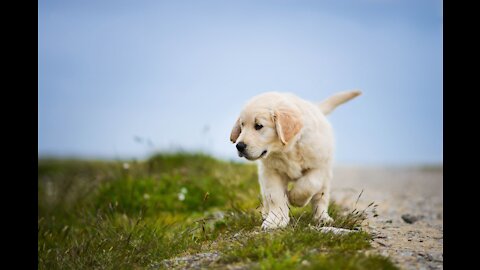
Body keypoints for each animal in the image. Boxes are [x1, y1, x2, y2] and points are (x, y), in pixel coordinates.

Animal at [229, 90, 360, 230]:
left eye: (258, 126)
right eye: (242, 125)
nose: (239, 146)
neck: (287, 149)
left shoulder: (319, 166)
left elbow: (309, 184)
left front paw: (294, 198)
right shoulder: (270, 171)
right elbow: (275, 195)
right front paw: (276, 220)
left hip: (326, 175)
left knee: (321, 197)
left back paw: (323, 217)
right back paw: (266, 213)